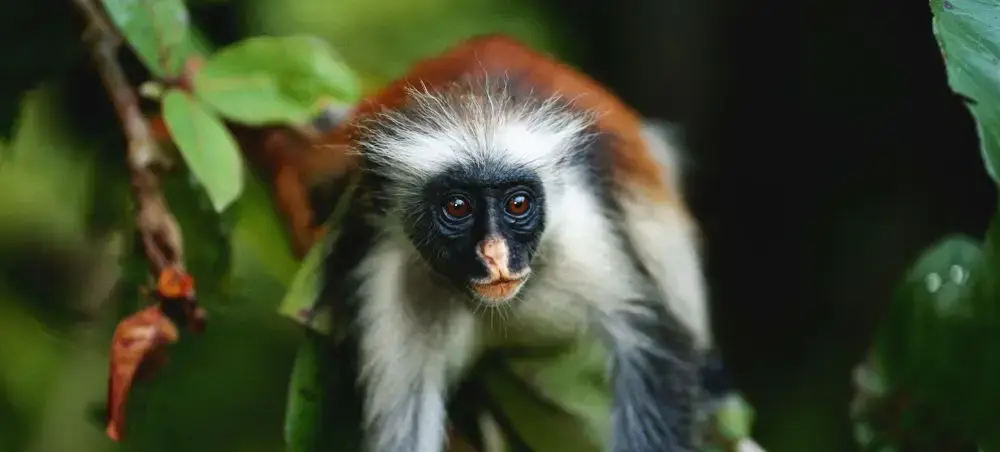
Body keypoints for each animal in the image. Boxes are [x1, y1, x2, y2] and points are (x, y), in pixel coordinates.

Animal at [313, 34, 712, 452]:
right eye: (457, 207)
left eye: (518, 203)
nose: (496, 256)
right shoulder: (393, 275)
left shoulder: (581, 234)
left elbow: (656, 343)